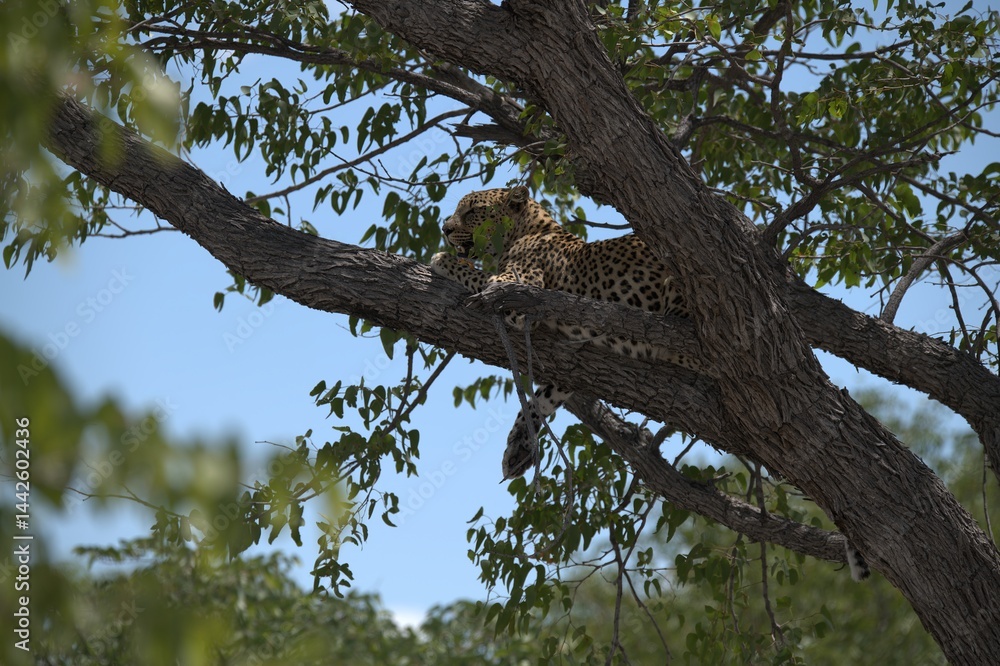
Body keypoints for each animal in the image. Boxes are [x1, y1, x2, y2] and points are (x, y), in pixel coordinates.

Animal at [429, 186, 870, 582]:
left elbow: (476, 276)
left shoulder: (520, 291)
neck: (528, 231)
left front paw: (438, 259)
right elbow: (540, 398)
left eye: (471, 212)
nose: (444, 229)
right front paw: (519, 448)